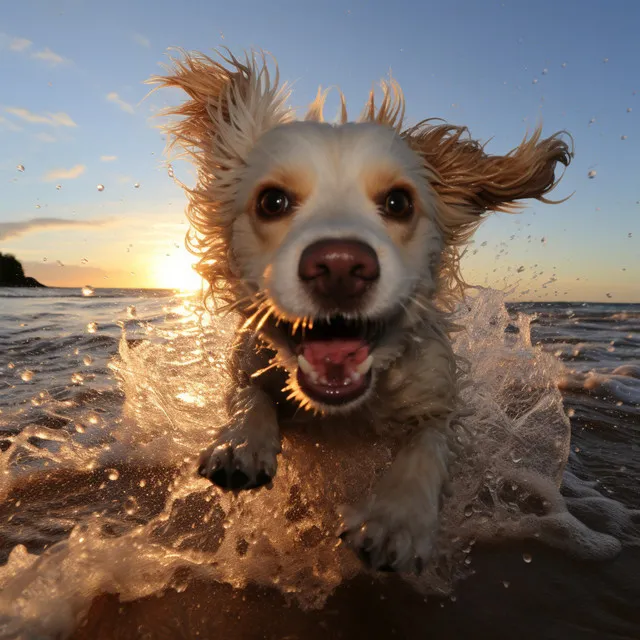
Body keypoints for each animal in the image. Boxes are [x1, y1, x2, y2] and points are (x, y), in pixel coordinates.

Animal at [152, 47, 572, 572]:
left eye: (397, 202)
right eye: (273, 201)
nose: (338, 265)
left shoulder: (435, 398)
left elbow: (427, 448)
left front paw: (398, 517)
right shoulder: (249, 364)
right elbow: (250, 397)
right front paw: (240, 441)